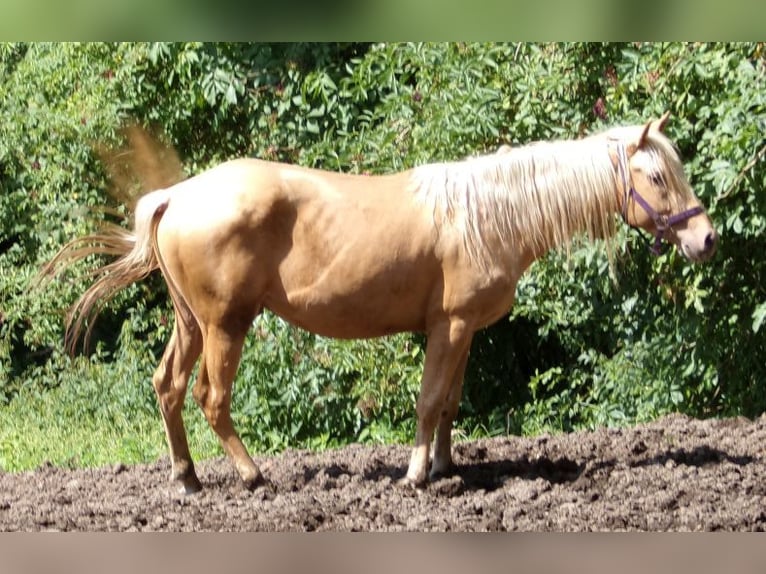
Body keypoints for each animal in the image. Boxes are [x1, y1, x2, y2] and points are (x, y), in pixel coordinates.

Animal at [45, 112, 720, 496]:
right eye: (656, 177)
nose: (706, 238)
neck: (489, 215)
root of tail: (178, 195)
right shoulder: (449, 325)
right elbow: (427, 400)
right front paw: (417, 475)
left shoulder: (465, 330)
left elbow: (449, 403)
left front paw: (445, 468)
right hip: (223, 325)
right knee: (213, 399)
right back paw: (252, 477)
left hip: (190, 323)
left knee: (168, 388)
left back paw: (187, 480)